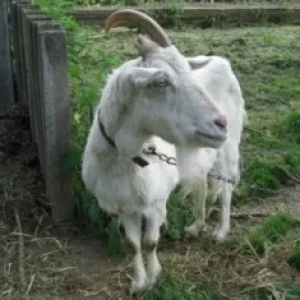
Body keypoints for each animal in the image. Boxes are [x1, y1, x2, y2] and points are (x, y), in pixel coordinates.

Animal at [81, 8, 246, 296]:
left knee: (225, 189)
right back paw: (196, 227)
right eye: (160, 82)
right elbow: (133, 245)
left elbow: (150, 242)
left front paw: (154, 276)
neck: (126, 160)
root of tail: (222, 61)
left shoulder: (155, 202)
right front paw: (138, 283)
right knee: (202, 186)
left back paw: (220, 232)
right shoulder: (123, 207)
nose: (220, 123)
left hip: (228, 149)